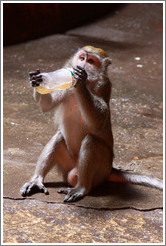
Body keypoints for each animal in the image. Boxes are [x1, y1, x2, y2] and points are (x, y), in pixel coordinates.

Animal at [19, 45, 163, 202]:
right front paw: (36, 79)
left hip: (100, 171)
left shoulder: (103, 86)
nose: (82, 65)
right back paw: (37, 180)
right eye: (82, 58)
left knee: (90, 141)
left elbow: (100, 119)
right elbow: (47, 105)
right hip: (68, 163)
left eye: (91, 61)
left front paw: (80, 81)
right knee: (59, 137)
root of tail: (110, 170)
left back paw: (82, 188)